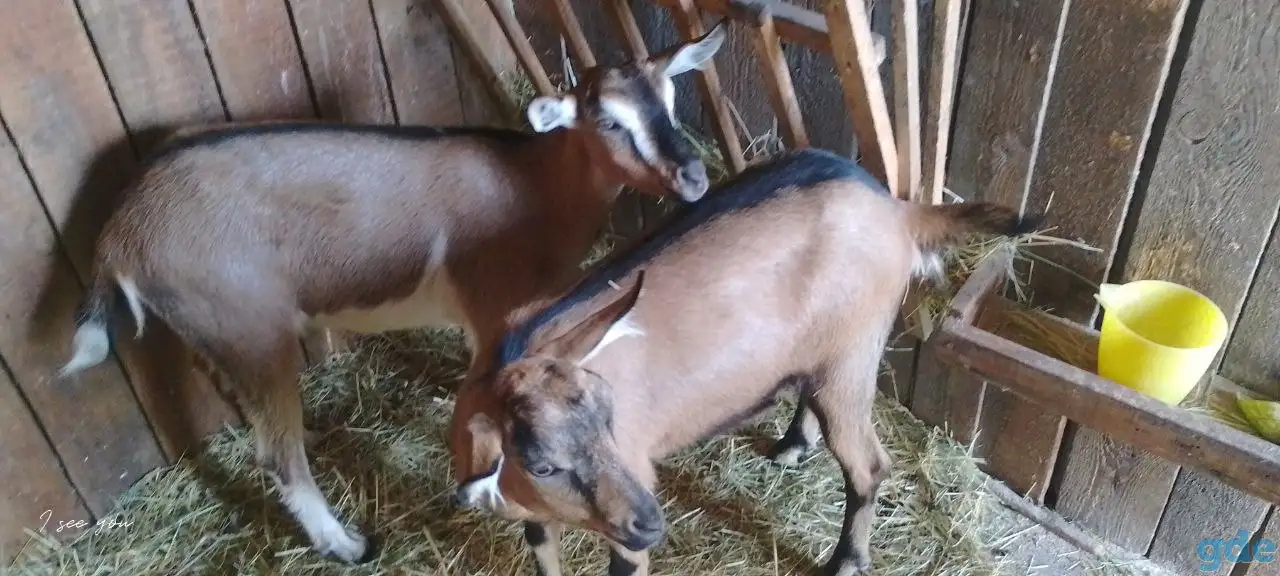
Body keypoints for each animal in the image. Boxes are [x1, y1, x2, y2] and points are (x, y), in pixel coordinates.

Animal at [56, 21, 730, 563]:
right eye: (609, 120)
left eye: (671, 101)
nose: (693, 176)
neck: (536, 182)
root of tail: (121, 231)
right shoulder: (494, 308)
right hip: (251, 330)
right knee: (275, 455)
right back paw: (346, 543)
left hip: (213, 331)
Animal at [448, 148, 1035, 576]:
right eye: (542, 464)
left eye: (610, 417)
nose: (651, 522)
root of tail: (898, 212)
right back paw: (793, 446)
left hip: (853, 352)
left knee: (867, 464)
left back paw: (846, 561)